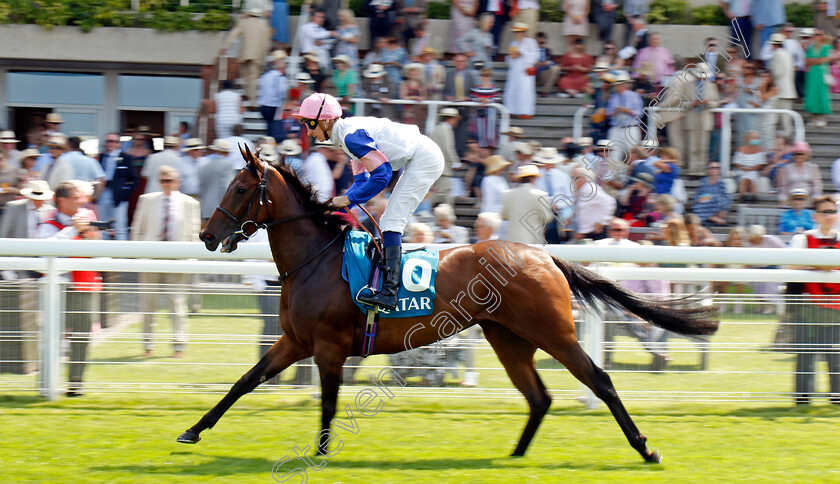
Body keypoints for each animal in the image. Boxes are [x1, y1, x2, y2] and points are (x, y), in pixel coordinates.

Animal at [177, 146, 716, 464]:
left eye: (240, 188)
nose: (206, 235)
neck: (316, 259)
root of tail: (544, 255)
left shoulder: (328, 346)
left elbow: (328, 403)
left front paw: (321, 455)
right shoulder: (293, 341)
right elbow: (244, 382)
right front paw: (192, 431)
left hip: (553, 332)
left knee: (598, 379)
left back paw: (645, 448)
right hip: (509, 338)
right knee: (538, 396)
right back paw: (514, 456)